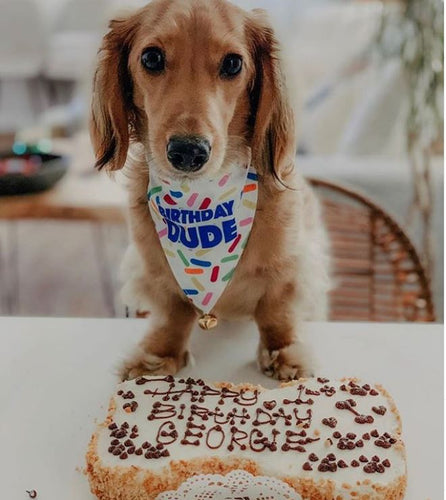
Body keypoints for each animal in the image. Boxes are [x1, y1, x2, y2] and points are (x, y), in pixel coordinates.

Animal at [89, 0, 332, 380]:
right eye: (152, 58)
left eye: (233, 63)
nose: (188, 152)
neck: (201, 202)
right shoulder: (156, 273)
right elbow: (172, 314)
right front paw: (158, 355)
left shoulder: (290, 268)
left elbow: (276, 312)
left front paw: (284, 353)